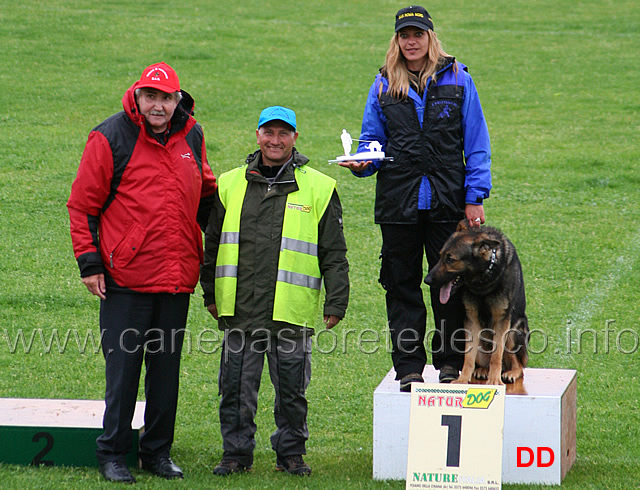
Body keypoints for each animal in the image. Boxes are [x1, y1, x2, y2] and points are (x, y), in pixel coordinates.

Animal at [424, 220, 528, 384]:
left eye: (450, 259)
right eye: (440, 256)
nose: (426, 280)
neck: (484, 278)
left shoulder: (502, 320)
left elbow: (496, 355)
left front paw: (494, 380)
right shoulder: (471, 319)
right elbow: (469, 357)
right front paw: (462, 379)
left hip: (513, 332)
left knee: (517, 364)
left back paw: (511, 372)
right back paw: (482, 370)